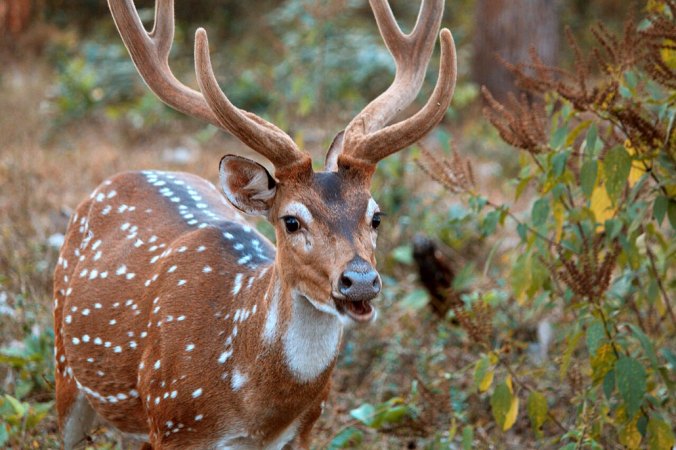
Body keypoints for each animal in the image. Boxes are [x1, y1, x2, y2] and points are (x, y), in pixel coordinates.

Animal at [53, 0, 456, 448]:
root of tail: (127, 174)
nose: (361, 280)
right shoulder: (173, 420)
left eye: (376, 216)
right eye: (291, 221)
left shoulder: (306, 428)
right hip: (65, 364)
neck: (256, 412)